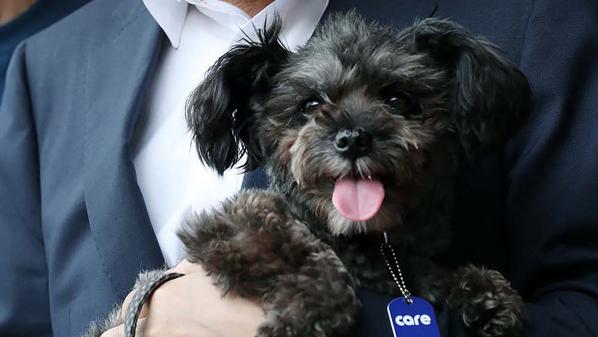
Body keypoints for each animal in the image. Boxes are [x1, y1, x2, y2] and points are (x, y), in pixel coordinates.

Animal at [85, 10, 528, 336]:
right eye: (310, 104)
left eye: (398, 99)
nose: (352, 138)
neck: (367, 244)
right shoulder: (224, 225)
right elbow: (287, 241)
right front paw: (313, 308)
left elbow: (432, 275)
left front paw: (484, 292)